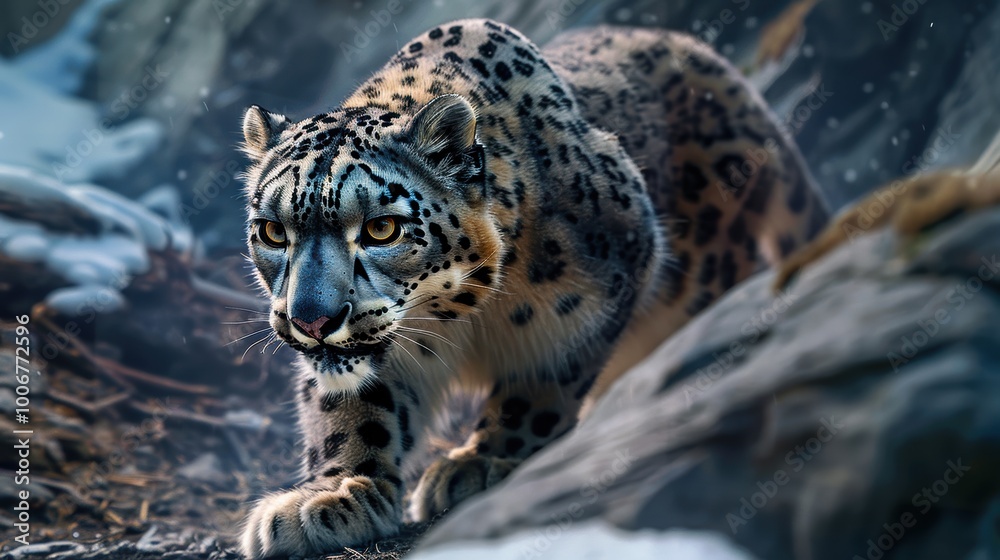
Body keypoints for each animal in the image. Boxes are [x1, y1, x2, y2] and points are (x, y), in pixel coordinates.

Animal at [237, 18, 829, 558]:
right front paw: (330, 496)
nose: (312, 319)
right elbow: (354, 408)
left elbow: (542, 384)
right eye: (272, 231)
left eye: (382, 228)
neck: (460, 317)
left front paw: (486, 460)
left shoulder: (588, 301)